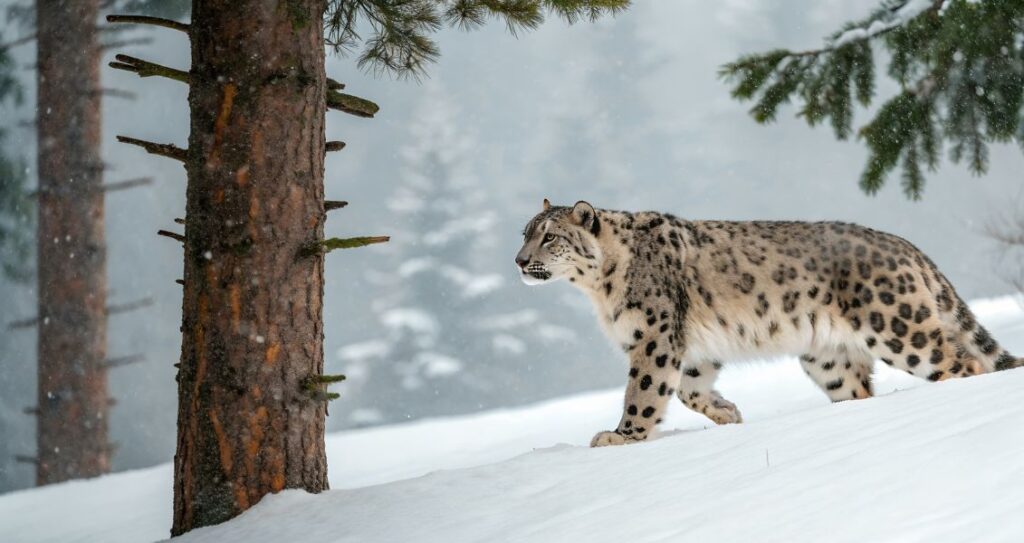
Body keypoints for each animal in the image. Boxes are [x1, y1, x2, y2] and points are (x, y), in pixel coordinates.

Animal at [515, 200, 1023, 447]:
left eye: (550, 237)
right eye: (525, 232)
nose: (519, 261)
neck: (598, 289)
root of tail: (908, 247)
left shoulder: (655, 336)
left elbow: (644, 392)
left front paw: (621, 437)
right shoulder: (689, 350)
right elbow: (688, 389)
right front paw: (728, 412)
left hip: (900, 328)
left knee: (962, 363)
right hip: (828, 361)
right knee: (860, 390)